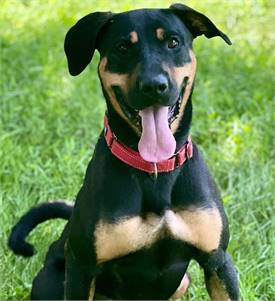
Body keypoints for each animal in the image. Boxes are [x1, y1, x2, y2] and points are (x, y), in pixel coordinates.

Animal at [8, 2, 240, 300]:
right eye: (122, 47)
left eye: (173, 42)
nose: (154, 86)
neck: (154, 170)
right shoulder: (82, 267)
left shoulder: (218, 261)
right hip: (53, 281)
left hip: (185, 281)